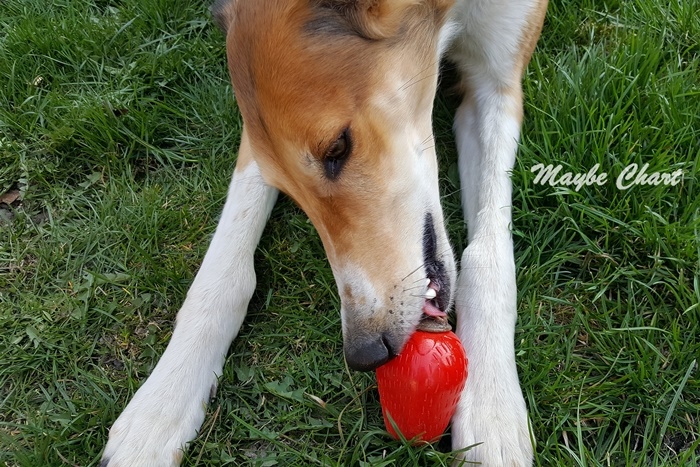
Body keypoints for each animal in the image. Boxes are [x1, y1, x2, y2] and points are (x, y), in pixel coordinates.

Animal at [100, 0, 548, 464]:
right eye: (288, 189)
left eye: (337, 147)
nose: (366, 353)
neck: (446, 15)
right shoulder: (255, 145)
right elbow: (223, 270)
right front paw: (160, 405)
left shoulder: (496, 85)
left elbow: (489, 255)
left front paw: (491, 407)